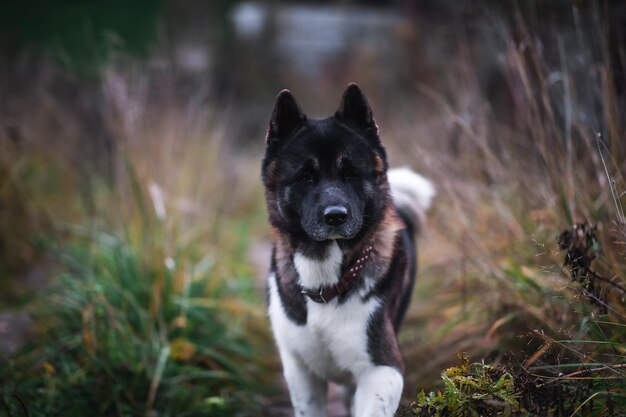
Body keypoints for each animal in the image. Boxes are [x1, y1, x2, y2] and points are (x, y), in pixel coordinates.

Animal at [260, 83, 432, 416]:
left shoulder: (382, 369)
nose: (336, 216)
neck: (324, 280)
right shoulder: (300, 372)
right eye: (305, 176)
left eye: (351, 173)